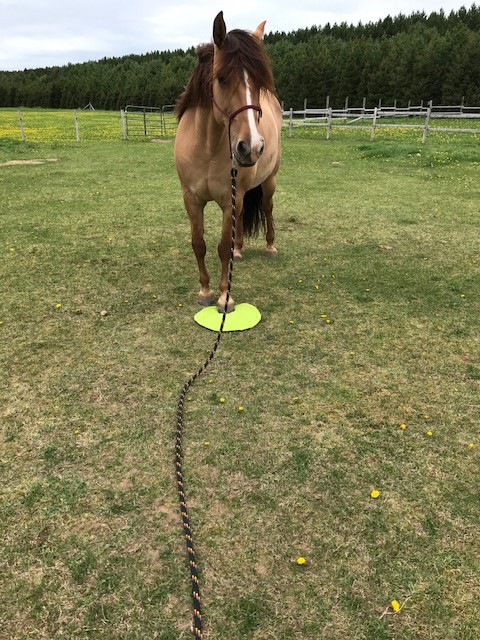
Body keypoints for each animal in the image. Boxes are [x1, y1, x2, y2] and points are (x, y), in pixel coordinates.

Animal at [174, 11, 282, 312]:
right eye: (221, 78)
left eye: (259, 83)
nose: (252, 147)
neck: (208, 148)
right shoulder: (191, 198)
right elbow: (199, 243)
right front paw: (205, 291)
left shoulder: (230, 199)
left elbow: (222, 246)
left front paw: (225, 297)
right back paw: (240, 249)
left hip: (268, 181)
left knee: (267, 208)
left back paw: (270, 247)